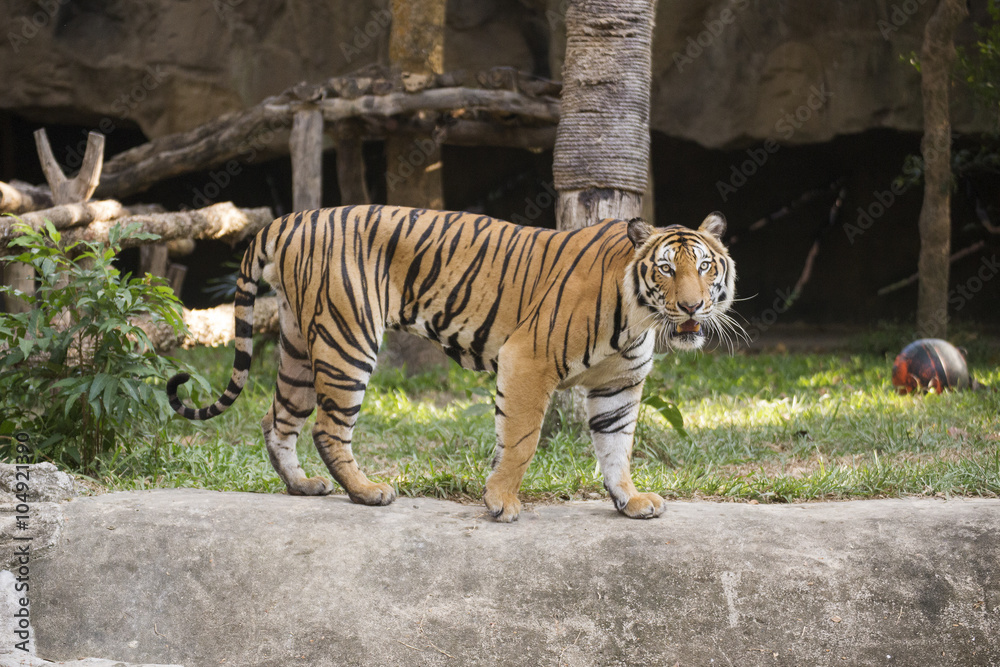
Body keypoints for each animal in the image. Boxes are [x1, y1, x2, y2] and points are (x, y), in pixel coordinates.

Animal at [167, 205, 737, 522]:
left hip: (298, 345)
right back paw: (367, 492)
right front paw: (502, 502)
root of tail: (287, 220)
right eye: (666, 270)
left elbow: (617, 448)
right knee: (328, 427)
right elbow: (521, 441)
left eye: (706, 268)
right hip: (347, 339)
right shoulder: (527, 360)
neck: (642, 315)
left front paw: (629, 501)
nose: (692, 307)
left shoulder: (617, 387)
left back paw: (302, 486)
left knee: (277, 419)